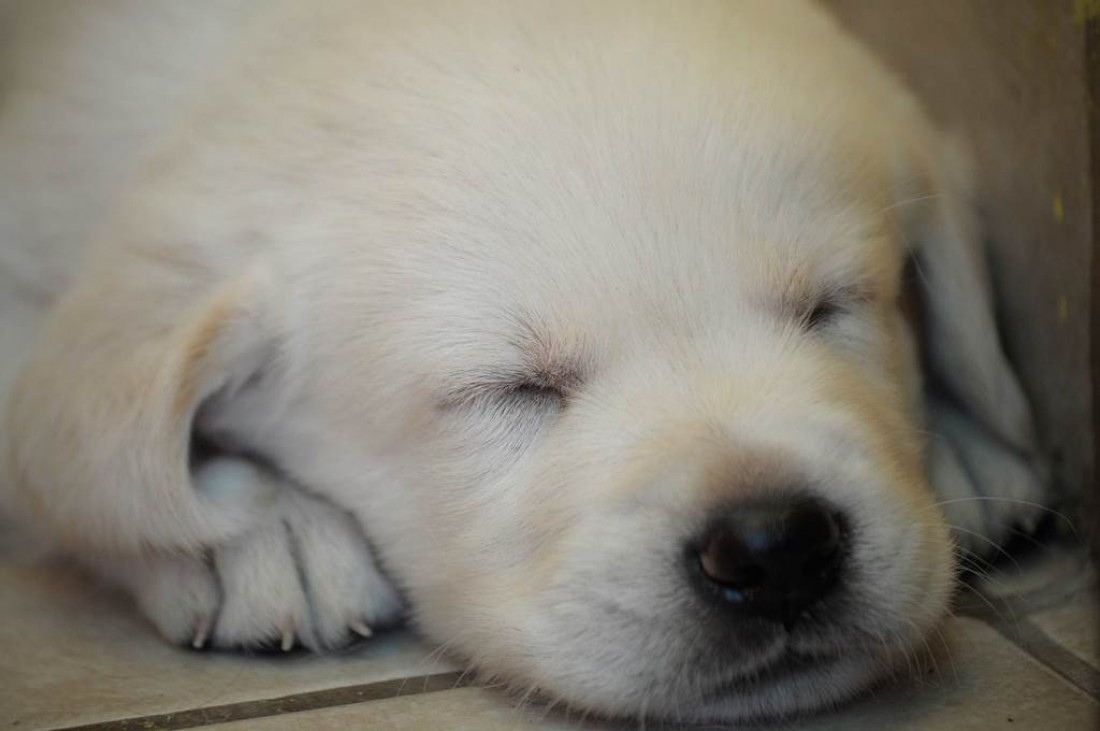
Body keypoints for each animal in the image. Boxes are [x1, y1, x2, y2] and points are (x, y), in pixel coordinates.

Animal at [0, 0, 1047, 716]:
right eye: (513, 388)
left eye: (830, 306)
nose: (773, 544)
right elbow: (73, 457)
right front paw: (264, 532)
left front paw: (964, 447)